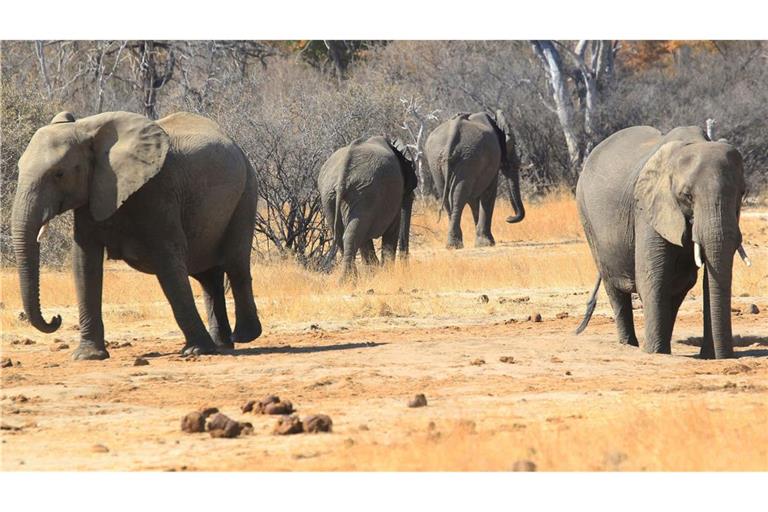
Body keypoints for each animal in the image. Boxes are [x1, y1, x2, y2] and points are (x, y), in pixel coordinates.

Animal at [11, 112, 264, 360]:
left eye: (59, 174)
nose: (56, 319)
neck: (86, 129)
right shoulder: (92, 195)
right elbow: (84, 264)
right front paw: (88, 356)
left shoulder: (157, 190)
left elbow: (168, 261)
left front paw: (196, 351)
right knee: (208, 277)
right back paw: (222, 344)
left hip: (246, 191)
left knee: (235, 263)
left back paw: (243, 337)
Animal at [316, 136, 416, 282]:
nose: (405, 270)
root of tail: (342, 175)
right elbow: (392, 229)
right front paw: (384, 273)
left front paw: (375, 272)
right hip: (364, 193)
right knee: (353, 233)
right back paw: (350, 280)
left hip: (332, 195)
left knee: (343, 235)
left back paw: (349, 280)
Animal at [424, 110, 524, 250]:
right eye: (513, 144)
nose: (508, 218)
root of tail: (451, 137)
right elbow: (488, 194)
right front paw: (487, 243)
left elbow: (473, 199)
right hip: (468, 158)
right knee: (458, 196)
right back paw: (455, 245)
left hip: (437, 161)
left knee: (448, 196)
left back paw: (453, 244)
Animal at [576, 125, 752, 360]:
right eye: (687, 196)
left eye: (742, 193)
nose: (726, 357)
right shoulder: (648, 208)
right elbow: (652, 276)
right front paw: (654, 353)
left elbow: (703, 279)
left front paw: (708, 356)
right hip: (587, 217)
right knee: (613, 285)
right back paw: (630, 345)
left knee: (679, 285)